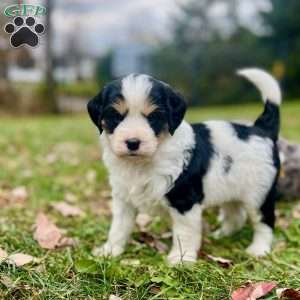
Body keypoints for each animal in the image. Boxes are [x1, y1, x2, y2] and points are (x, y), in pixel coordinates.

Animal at [86, 68, 282, 264]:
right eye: (115, 117)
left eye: (153, 117)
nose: (133, 142)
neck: (144, 161)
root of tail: (261, 129)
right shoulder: (123, 199)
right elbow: (119, 227)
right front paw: (110, 251)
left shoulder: (184, 201)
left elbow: (184, 233)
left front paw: (180, 259)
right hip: (232, 189)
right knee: (235, 215)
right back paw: (222, 235)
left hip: (259, 193)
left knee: (265, 221)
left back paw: (259, 249)